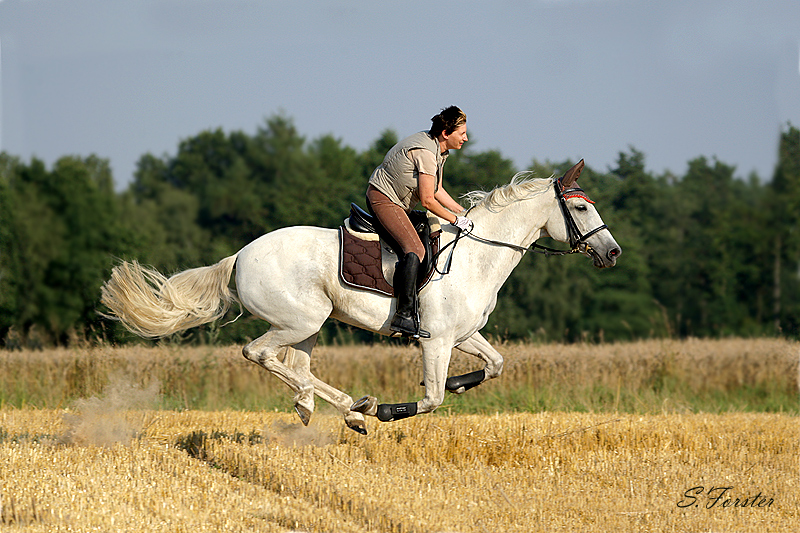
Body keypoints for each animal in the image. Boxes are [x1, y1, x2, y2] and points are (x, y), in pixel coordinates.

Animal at [101, 159, 620, 432]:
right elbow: (431, 399)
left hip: (309, 325)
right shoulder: (435, 341)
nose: (612, 252)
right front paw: (393, 409)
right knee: (260, 354)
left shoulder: (462, 335)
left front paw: (459, 383)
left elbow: (494, 365)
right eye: (579, 208)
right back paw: (350, 406)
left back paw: (335, 407)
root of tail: (240, 255)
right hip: (298, 321)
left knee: (297, 366)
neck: (477, 255)